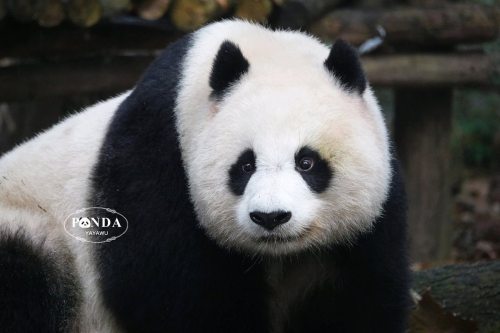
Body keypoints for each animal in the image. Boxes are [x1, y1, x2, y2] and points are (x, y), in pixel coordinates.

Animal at [0, 20, 410, 330]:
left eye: (307, 162)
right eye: (245, 165)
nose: (271, 217)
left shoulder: (371, 218)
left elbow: (362, 297)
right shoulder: (159, 157)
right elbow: (171, 291)